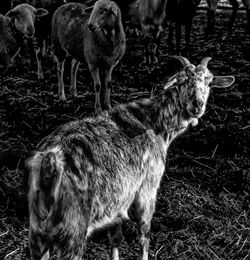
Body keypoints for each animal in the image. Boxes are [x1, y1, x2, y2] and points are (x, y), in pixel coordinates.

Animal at [27, 56, 234, 260]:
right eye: (182, 82)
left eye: (209, 82)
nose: (197, 105)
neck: (153, 123)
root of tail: (50, 161)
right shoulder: (147, 187)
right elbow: (144, 234)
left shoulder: (118, 201)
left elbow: (115, 238)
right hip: (73, 227)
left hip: (38, 227)